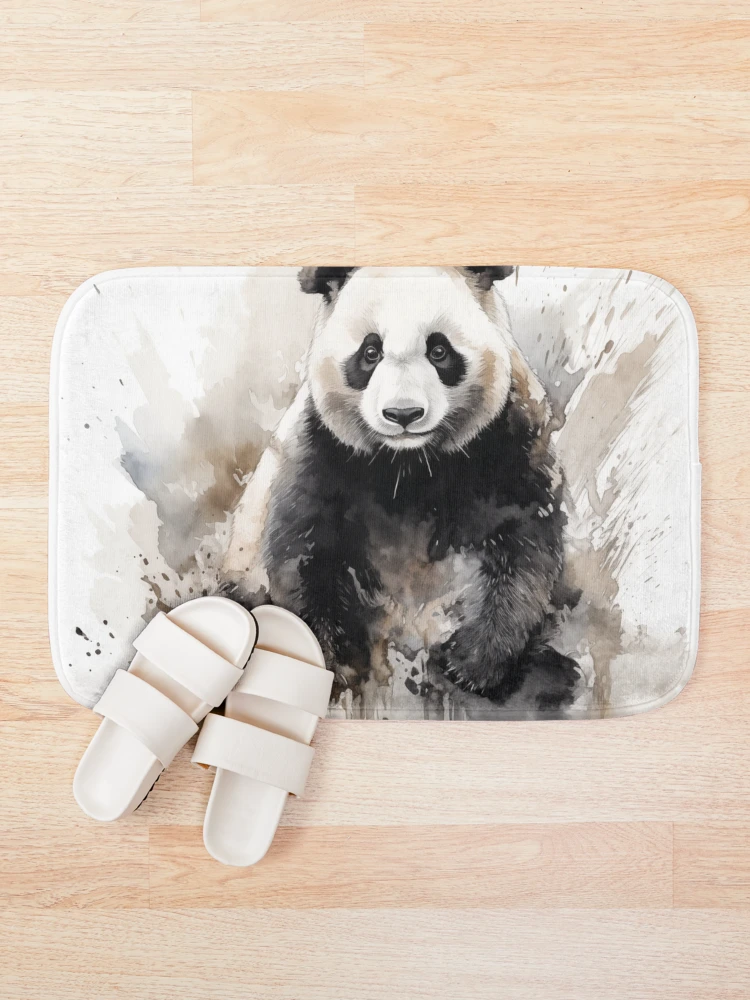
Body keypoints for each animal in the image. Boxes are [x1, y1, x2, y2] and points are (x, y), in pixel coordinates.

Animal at [224, 266, 580, 715]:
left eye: (439, 350)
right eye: (370, 352)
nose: (403, 414)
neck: (410, 466)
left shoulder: (507, 445)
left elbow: (523, 544)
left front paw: (470, 664)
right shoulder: (321, 451)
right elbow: (305, 550)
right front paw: (331, 661)